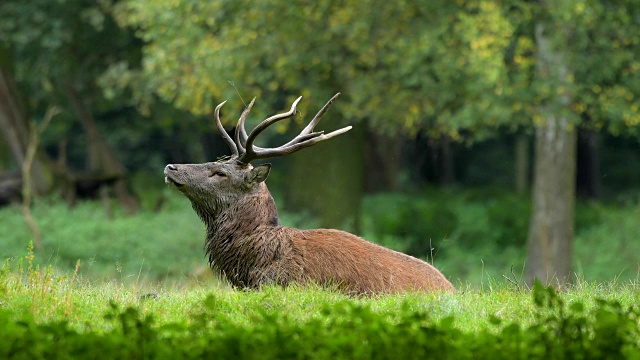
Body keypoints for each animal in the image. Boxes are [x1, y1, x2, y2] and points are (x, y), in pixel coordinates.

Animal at [165, 93, 456, 296]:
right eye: (218, 161)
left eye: (220, 173)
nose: (171, 167)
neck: (252, 259)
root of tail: (451, 288)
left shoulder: (283, 284)